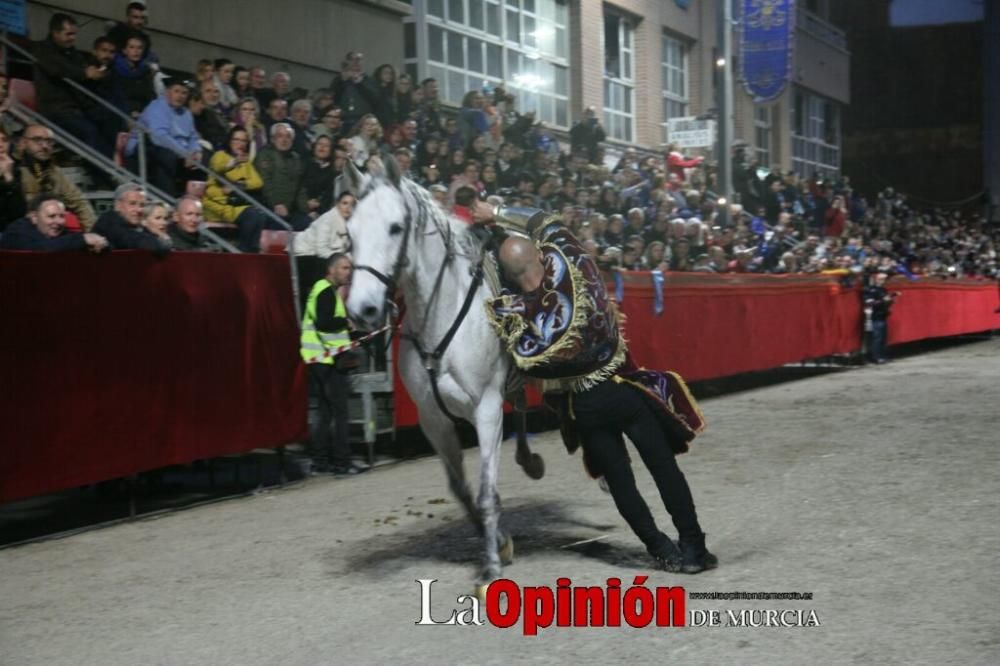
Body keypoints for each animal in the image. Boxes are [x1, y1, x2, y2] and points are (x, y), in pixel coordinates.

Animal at [342, 158, 536, 584]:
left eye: (395, 227)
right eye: (350, 231)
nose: (362, 309)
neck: (441, 317)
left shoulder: (487, 411)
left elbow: (485, 492)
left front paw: (491, 564)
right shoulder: (434, 419)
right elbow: (462, 490)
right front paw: (499, 542)